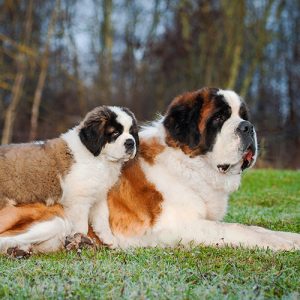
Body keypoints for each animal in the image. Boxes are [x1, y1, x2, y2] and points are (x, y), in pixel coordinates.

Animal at [0, 105, 139, 248]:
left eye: (132, 133)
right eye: (115, 133)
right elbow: (81, 225)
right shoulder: (79, 201)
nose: (131, 143)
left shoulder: (99, 194)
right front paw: (80, 239)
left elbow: (101, 217)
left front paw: (108, 239)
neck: (99, 159)